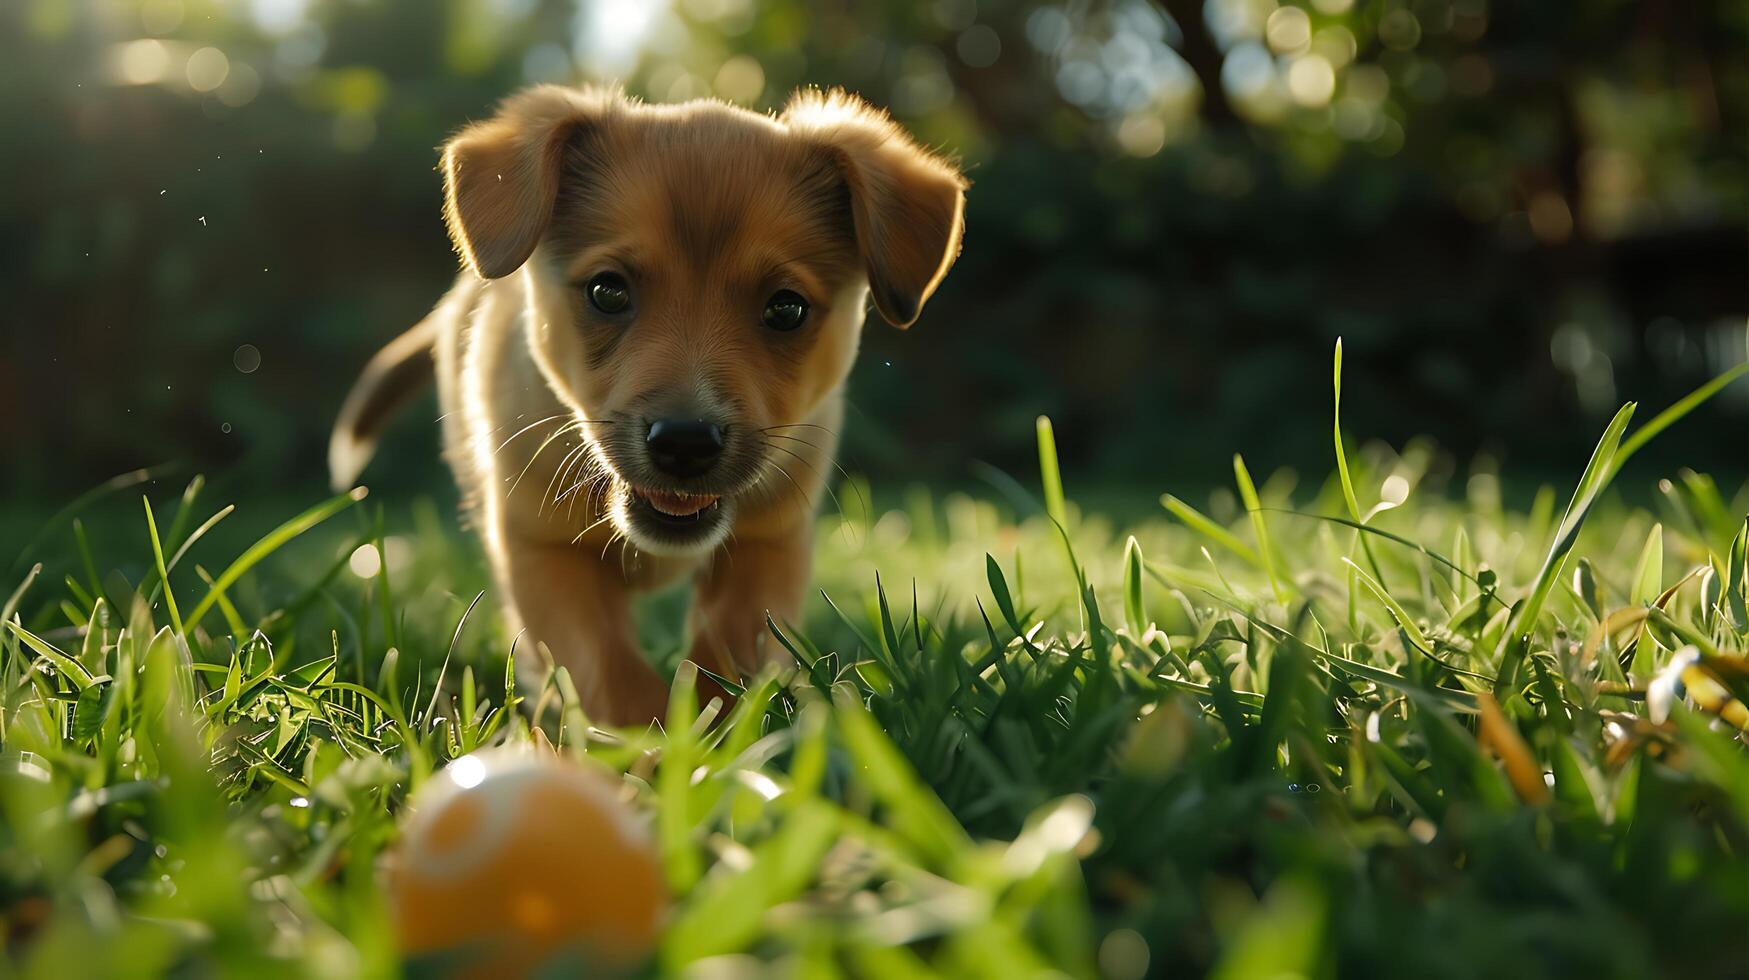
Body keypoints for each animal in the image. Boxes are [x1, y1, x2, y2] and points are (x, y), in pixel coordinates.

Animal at [328, 87, 972, 724]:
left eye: (787, 309)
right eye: (607, 291)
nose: (685, 443)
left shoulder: (769, 542)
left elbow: (728, 654)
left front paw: (716, 735)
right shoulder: (542, 547)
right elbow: (609, 669)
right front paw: (652, 745)